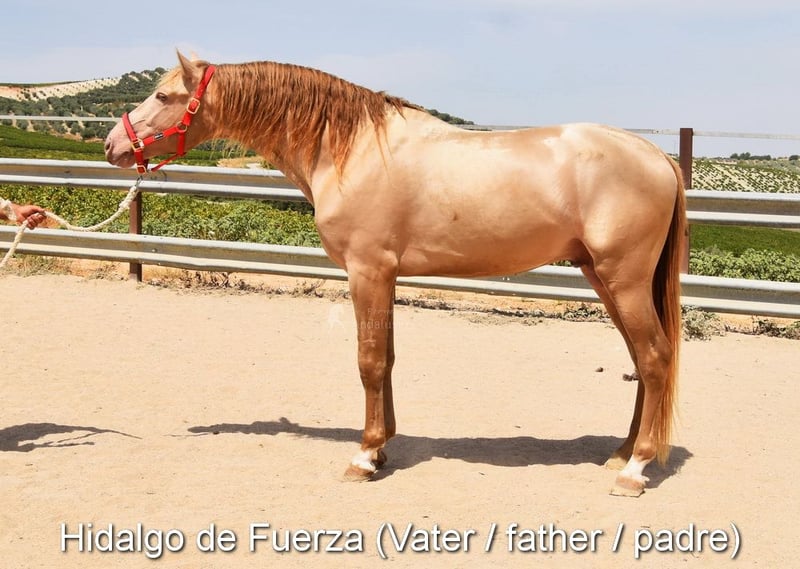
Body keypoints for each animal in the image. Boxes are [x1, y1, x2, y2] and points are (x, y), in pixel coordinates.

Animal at [105, 52, 686, 496]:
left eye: (163, 97)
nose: (112, 144)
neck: (352, 150)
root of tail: (657, 155)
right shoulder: (383, 277)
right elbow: (385, 361)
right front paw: (382, 448)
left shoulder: (368, 272)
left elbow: (368, 361)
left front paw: (363, 457)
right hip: (603, 278)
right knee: (643, 360)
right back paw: (622, 453)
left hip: (623, 280)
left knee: (655, 358)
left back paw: (635, 469)